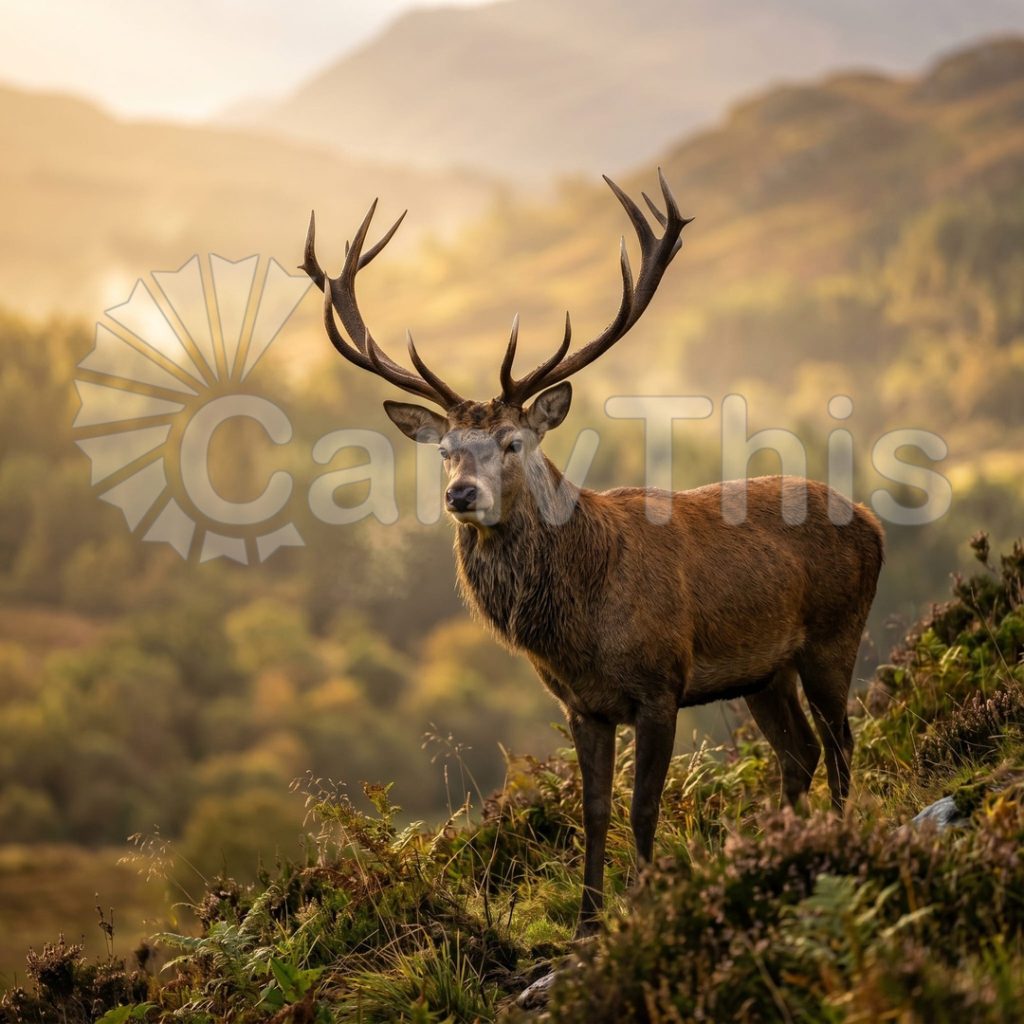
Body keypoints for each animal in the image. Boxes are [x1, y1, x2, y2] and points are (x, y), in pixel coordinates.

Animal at [301, 171, 884, 938]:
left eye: (513, 442)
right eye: (447, 448)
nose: (461, 494)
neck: (580, 625)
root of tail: (873, 522)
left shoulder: (662, 683)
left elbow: (643, 807)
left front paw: (645, 903)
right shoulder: (583, 705)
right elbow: (595, 810)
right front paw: (587, 922)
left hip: (833, 635)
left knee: (841, 743)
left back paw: (838, 838)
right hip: (765, 671)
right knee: (801, 752)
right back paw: (791, 845)